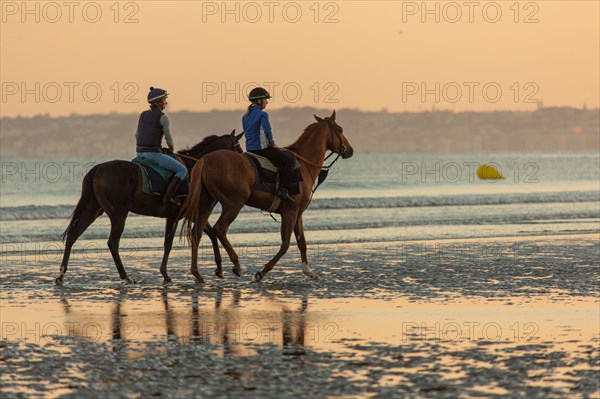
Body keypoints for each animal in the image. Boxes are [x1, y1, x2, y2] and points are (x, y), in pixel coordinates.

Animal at [55, 130, 244, 286]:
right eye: (238, 147)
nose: (244, 162)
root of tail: (97, 169)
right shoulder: (177, 215)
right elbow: (168, 243)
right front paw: (165, 274)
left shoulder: (190, 214)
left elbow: (210, 234)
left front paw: (219, 268)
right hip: (118, 214)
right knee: (112, 243)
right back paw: (126, 276)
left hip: (93, 210)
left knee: (73, 235)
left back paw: (61, 274)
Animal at [180, 111, 354, 282]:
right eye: (340, 129)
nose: (350, 150)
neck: (303, 165)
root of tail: (204, 160)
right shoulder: (290, 213)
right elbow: (285, 245)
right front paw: (262, 272)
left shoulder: (298, 214)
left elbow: (302, 242)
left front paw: (308, 271)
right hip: (233, 204)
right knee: (219, 229)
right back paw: (236, 264)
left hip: (207, 202)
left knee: (197, 233)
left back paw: (197, 273)